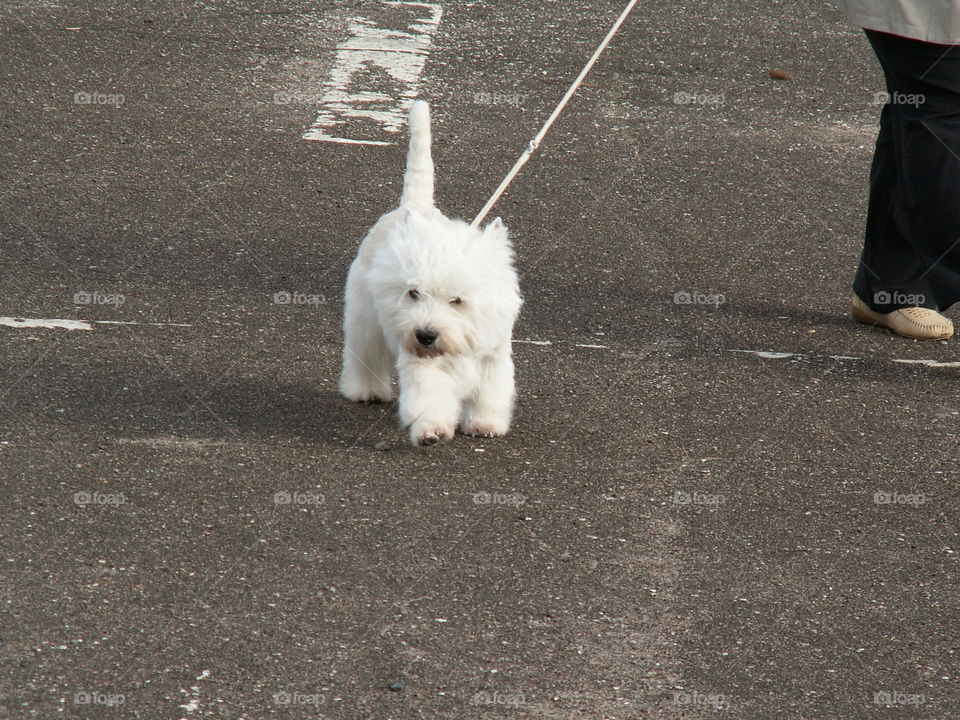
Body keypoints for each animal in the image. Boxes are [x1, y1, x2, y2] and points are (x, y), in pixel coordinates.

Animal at [336, 100, 516, 444]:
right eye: (414, 293)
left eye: (457, 300)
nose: (425, 335)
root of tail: (413, 205)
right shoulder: (424, 363)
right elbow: (429, 396)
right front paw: (432, 429)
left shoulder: (492, 356)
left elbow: (490, 392)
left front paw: (485, 423)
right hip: (365, 318)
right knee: (364, 354)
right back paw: (366, 391)